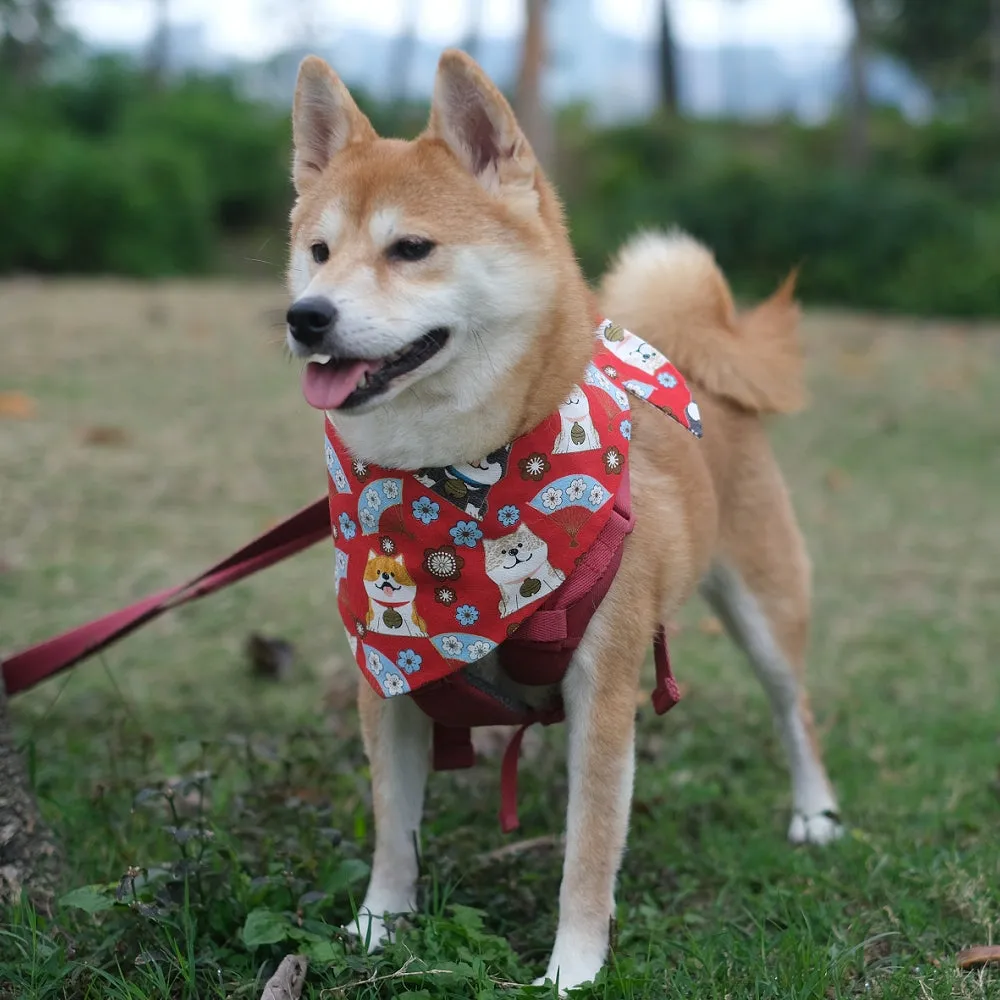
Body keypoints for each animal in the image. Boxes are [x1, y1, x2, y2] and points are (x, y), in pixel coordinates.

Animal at [284, 50, 844, 988]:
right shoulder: (387, 678)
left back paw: (816, 814)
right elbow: (393, 827)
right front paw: (376, 928)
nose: (306, 316)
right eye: (318, 253)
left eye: (411, 248)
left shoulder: (605, 691)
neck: (458, 483)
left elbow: (589, 854)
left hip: (766, 606)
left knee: (793, 708)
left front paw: (572, 973)